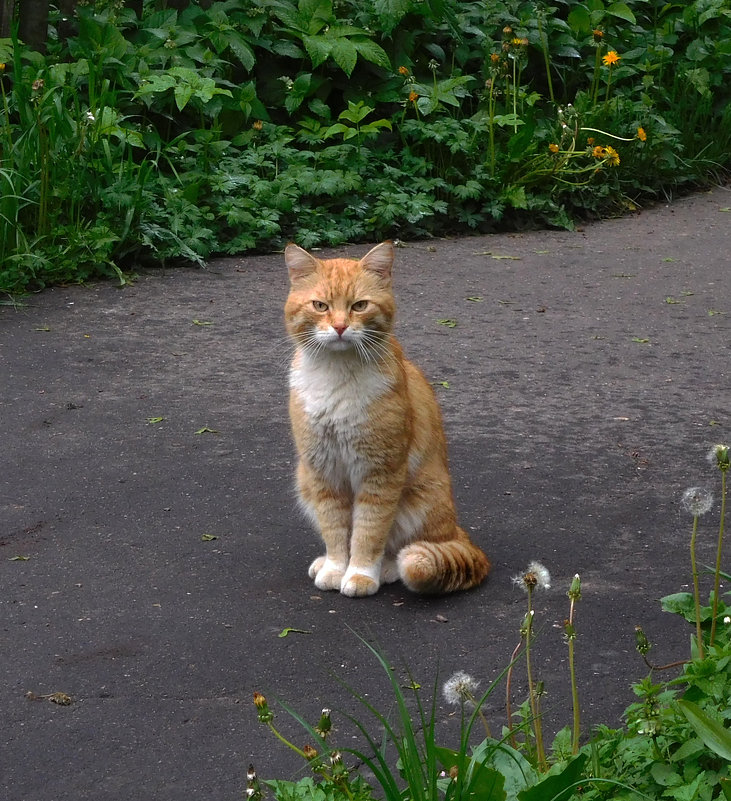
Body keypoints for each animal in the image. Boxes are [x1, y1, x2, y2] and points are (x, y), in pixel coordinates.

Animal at [284, 241, 488, 596]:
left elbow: (368, 532)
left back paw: (389, 569)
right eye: (320, 306)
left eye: (360, 305)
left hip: (421, 502)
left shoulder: (380, 472)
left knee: (404, 545)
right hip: (304, 480)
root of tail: (456, 530)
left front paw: (360, 575)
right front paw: (336, 568)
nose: (339, 327)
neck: (337, 377)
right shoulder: (323, 471)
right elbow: (335, 530)